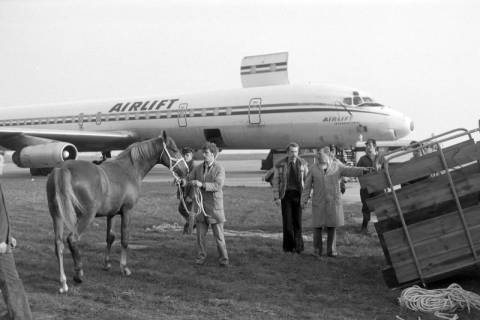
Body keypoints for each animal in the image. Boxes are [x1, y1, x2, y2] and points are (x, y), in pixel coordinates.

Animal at [46, 130, 189, 292]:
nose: (186, 170)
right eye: (174, 149)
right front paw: (124, 268)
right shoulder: (127, 211)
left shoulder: (112, 214)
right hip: (86, 216)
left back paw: (63, 282)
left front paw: (107, 264)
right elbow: (124, 239)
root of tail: (63, 169)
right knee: (72, 239)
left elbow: (110, 237)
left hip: (56, 215)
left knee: (58, 245)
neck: (129, 169)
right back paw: (78, 274)